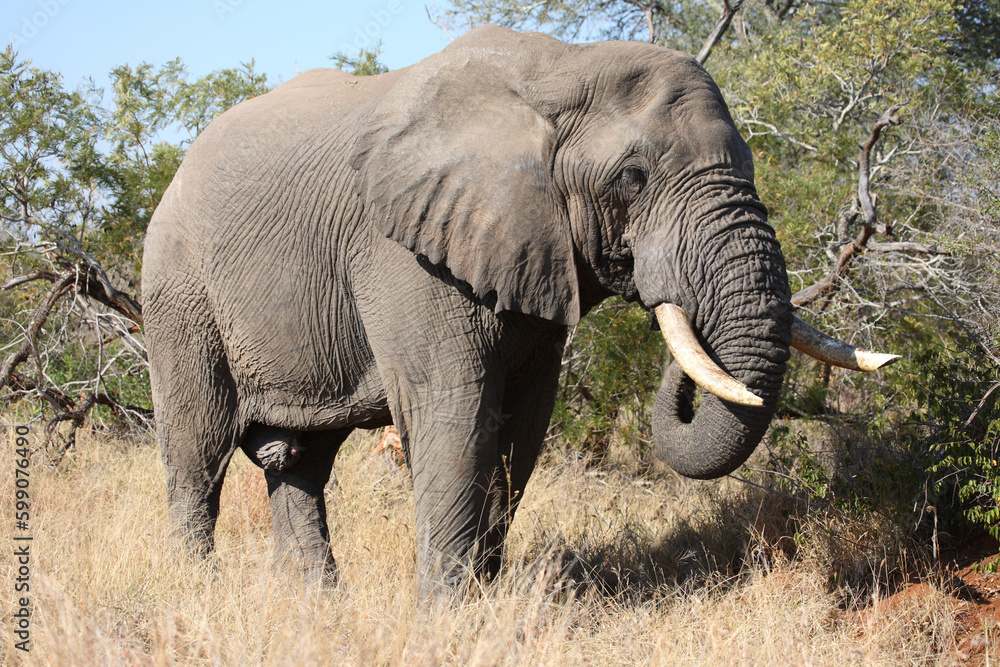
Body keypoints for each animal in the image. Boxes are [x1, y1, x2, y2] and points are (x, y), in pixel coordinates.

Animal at [141, 25, 896, 593]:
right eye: (633, 177)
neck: (560, 70)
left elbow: (523, 420)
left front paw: (483, 602)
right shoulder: (403, 250)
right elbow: (455, 408)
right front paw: (446, 617)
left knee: (297, 462)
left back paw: (318, 603)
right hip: (178, 289)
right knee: (198, 451)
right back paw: (200, 593)